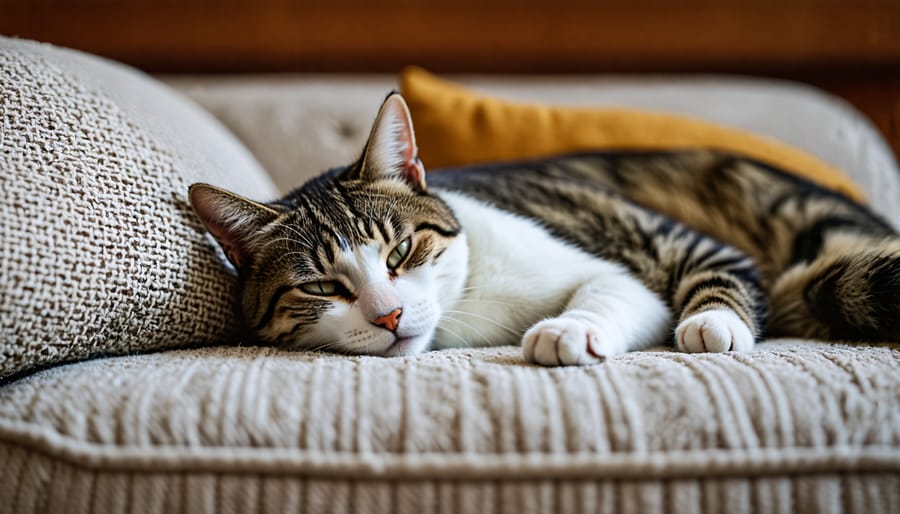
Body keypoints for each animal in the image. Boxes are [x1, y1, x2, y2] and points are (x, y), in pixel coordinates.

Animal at [190, 92, 900, 364]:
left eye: (401, 250)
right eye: (321, 288)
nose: (389, 314)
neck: (467, 306)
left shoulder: (631, 255)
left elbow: (617, 288)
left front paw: (569, 330)